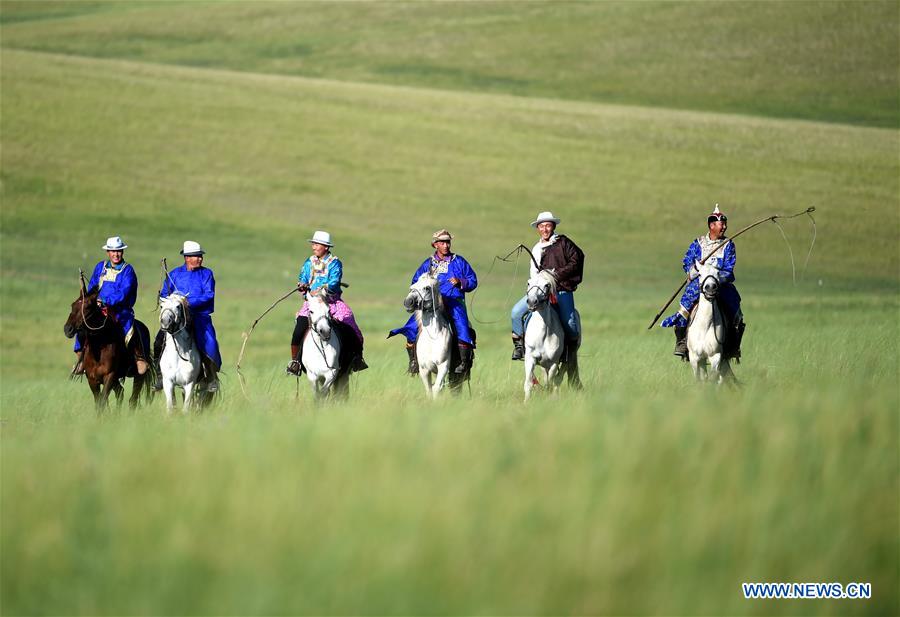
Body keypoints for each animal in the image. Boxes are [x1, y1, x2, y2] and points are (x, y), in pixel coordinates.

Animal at [520, 270, 584, 400]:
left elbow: (551, 381)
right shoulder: (530, 359)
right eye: (529, 283)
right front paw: (526, 402)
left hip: (567, 358)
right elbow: (529, 383)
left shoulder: (554, 362)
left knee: (558, 379)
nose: (532, 301)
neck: (543, 334)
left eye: (547, 285)